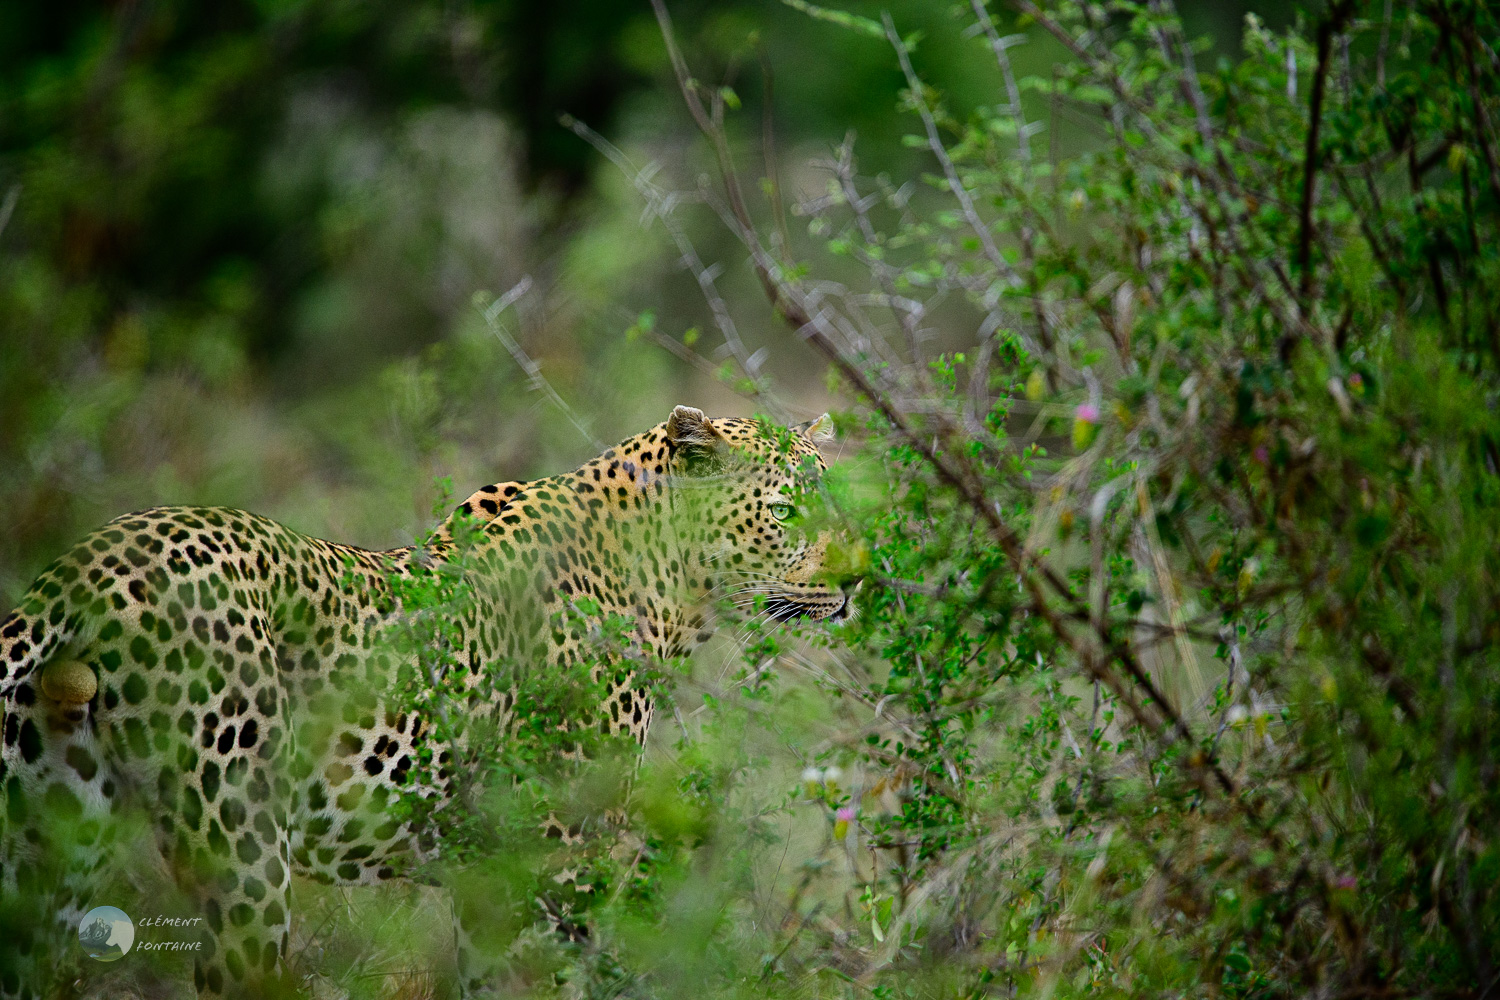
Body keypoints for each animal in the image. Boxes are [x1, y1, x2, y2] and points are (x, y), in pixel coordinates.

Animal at [0, 407, 846, 1000]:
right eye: (785, 511)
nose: (855, 575)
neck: (666, 589)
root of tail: (86, 566)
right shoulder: (556, 863)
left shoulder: (495, 882)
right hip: (241, 856)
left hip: (54, 847)